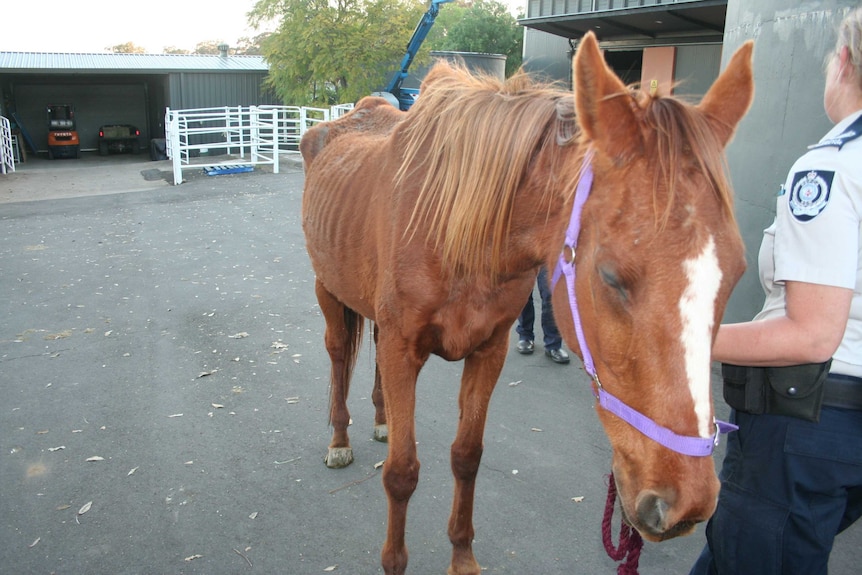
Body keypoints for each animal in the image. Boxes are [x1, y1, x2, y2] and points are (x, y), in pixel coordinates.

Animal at [302, 31, 756, 575]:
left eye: (736, 274)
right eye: (610, 276)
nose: (686, 502)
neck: (456, 226)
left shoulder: (487, 351)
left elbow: (467, 456)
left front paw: (463, 559)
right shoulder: (402, 348)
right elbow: (402, 473)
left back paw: (382, 421)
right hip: (328, 292)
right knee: (337, 357)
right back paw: (339, 440)